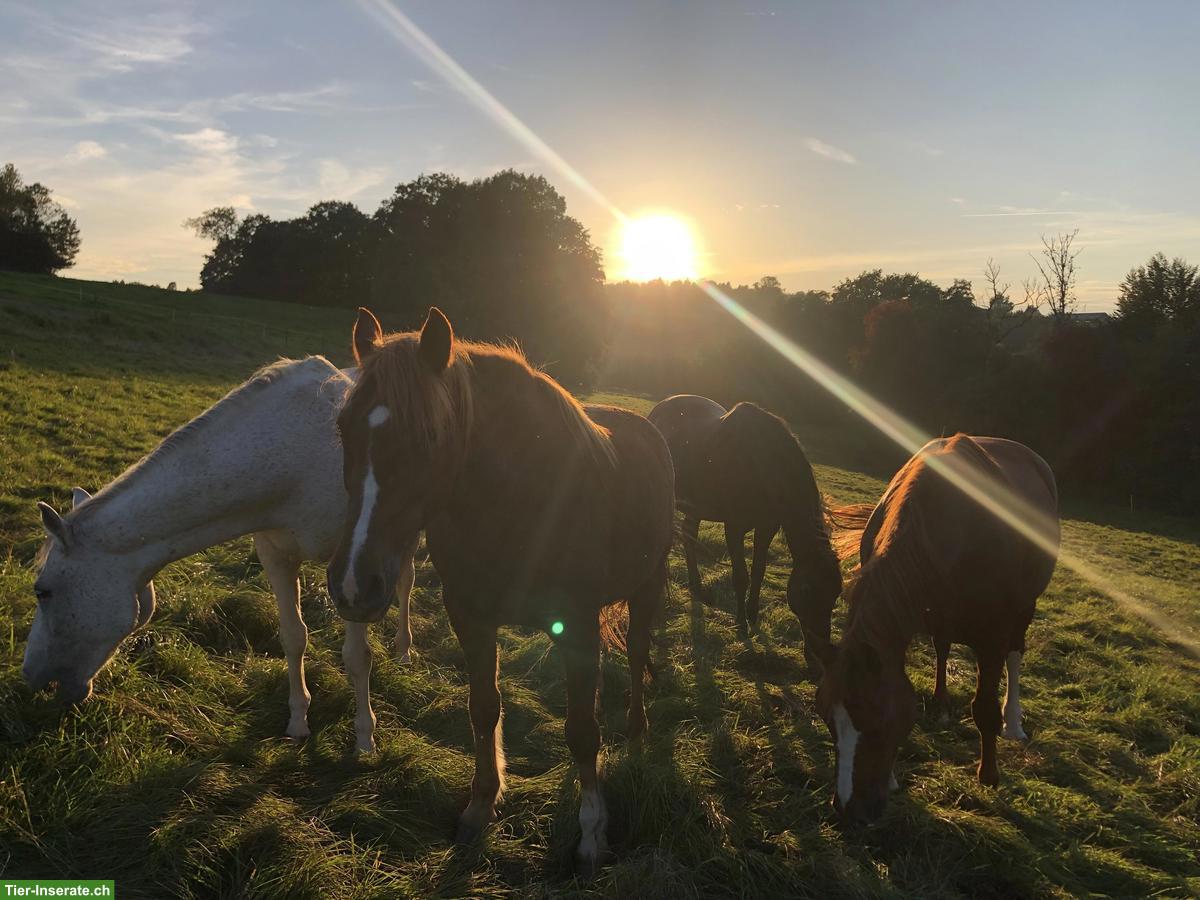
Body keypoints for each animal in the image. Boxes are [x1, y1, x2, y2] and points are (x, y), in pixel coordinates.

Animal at [25, 356, 415, 753]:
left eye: (43, 591)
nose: (31, 677)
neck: (295, 454)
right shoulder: (276, 555)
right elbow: (293, 637)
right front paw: (298, 720)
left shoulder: (355, 569)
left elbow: (357, 657)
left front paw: (365, 738)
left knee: (406, 582)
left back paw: (403, 651)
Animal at [327, 307, 674, 875]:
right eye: (342, 428)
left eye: (430, 436)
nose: (354, 584)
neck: (518, 507)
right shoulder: (470, 617)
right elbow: (483, 708)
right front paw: (481, 805)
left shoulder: (577, 628)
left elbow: (582, 732)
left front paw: (591, 837)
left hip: (646, 587)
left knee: (638, 650)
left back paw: (638, 732)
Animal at [647, 395, 842, 660]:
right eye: (807, 590)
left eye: (836, 594)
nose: (819, 654)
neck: (759, 466)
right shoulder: (734, 527)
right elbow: (741, 576)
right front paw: (740, 623)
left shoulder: (766, 528)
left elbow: (758, 571)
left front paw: (752, 615)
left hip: (695, 507)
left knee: (689, 536)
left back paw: (697, 586)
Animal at [814, 434, 1059, 824]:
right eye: (825, 718)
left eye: (878, 722)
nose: (850, 811)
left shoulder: (992, 636)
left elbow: (984, 706)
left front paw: (989, 775)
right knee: (942, 646)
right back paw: (942, 702)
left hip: (1025, 609)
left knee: (1016, 655)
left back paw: (1013, 723)